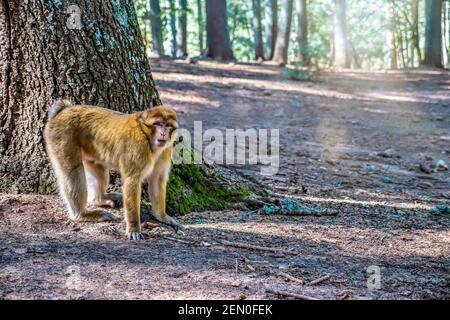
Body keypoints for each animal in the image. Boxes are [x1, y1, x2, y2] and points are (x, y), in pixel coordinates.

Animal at [44, 100, 181, 240]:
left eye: (168, 125)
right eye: (157, 124)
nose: (163, 133)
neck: (148, 137)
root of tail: (64, 109)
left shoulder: (166, 149)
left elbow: (157, 179)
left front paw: (161, 216)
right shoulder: (138, 147)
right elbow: (132, 182)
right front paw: (133, 228)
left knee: (98, 172)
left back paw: (99, 200)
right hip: (62, 137)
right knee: (73, 172)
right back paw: (81, 214)